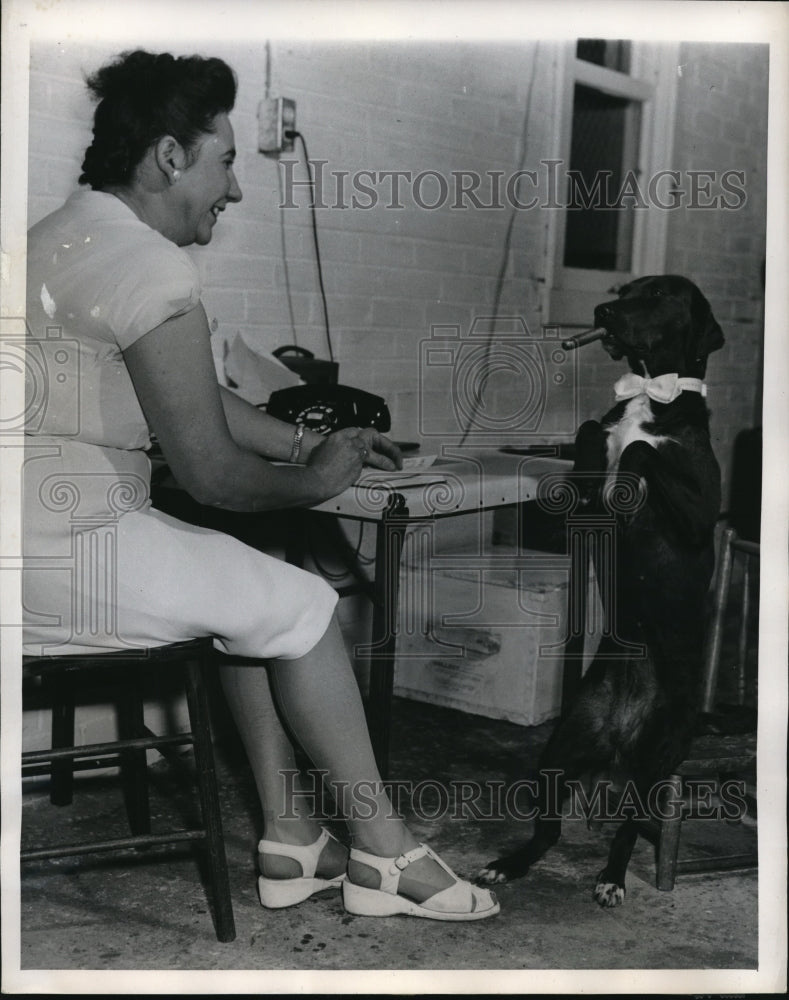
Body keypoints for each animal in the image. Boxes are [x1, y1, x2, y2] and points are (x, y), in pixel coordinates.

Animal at [478, 274, 724, 908]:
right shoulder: (582, 513)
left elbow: (639, 450)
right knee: (547, 831)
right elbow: (594, 432)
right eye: (626, 288)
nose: (602, 311)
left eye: (660, 294)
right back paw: (509, 865)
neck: (650, 393)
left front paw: (631, 470)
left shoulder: (697, 518)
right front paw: (599, 451)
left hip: (656, 766)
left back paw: (611, 880)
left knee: (628, 833)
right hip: (559, 752)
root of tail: (619, 736)